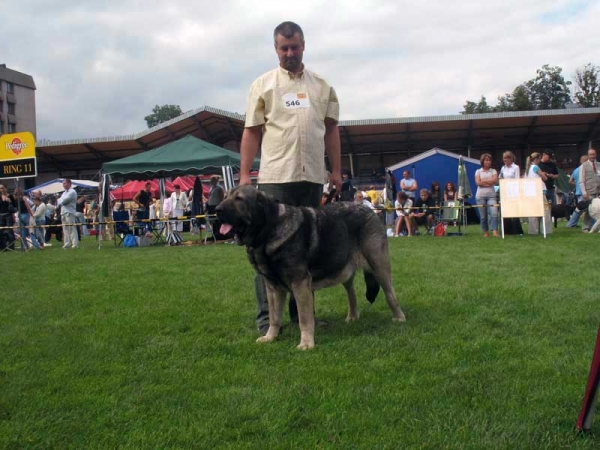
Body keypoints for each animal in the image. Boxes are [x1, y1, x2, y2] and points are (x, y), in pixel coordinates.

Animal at [213, 185, 406, 350]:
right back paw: (352, 317)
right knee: (351, 294)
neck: (269, 231)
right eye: (226, 196)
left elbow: (304, 319)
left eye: (239, 199)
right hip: (343, 268)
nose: (217, 210)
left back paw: (399, 317)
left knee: (390, 294)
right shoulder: (273, 288)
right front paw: (270, 337)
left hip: (379, 265)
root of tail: (369, 210)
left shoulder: (300, 283)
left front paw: (306, 343)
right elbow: (274, 317)